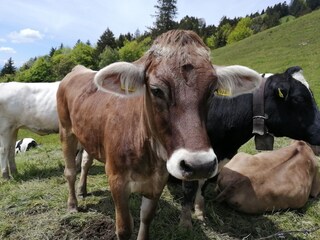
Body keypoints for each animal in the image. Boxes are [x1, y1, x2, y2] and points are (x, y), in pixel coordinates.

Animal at [57, 30, 262, 240]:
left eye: (212, 91)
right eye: (156, 90)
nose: (199, 165)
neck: (147, 154)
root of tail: (78, 69)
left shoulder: (158, 181)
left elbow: (146, 217)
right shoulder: (116, 180)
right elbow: (124, 228)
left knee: (85, 162)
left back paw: (82, 190)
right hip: (66, 130)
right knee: (70, 171)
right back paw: (72, 204)